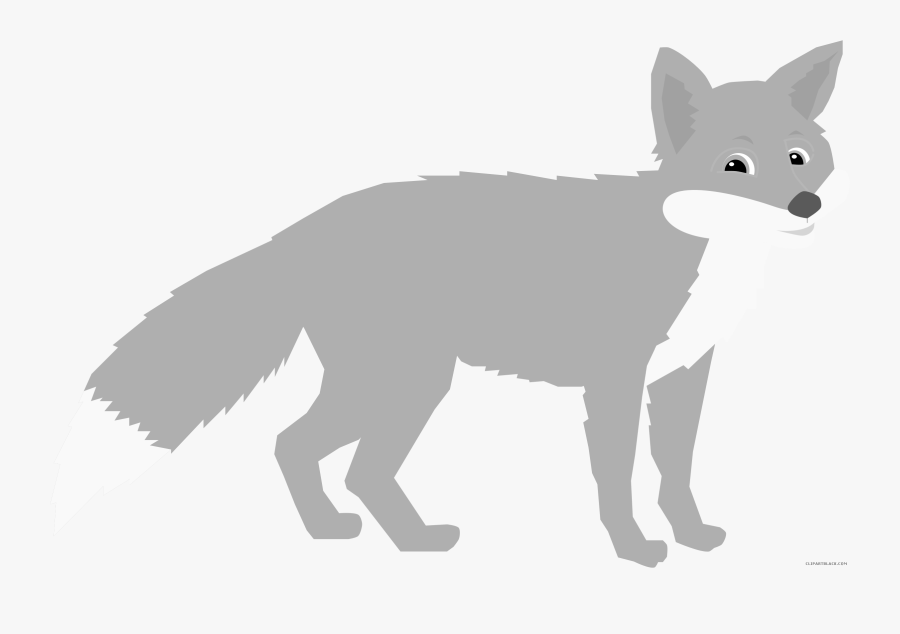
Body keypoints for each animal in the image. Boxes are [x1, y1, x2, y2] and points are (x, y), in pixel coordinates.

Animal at [54, 42, 846, 567]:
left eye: (799, 157)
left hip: (395, 388)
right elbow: (618, 479)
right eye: (734, 166)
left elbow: (676, 472)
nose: (805, 205)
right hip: (408, 385)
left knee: (306, 450)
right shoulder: (615, 385)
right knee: (337, 460)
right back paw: (401, 540)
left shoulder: (683, 378)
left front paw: (692, 536)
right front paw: (634, 548)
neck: (704, 252)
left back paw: (350, 534)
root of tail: (302, 227)